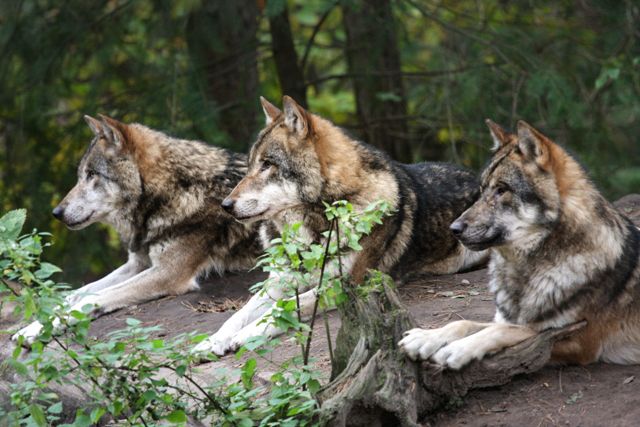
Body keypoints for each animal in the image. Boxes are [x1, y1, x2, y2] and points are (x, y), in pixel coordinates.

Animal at [12, 113, 262, 344]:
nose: (56, 212)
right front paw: (34, 326)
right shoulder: (138, 263)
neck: (169, 193)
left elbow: (92, 298)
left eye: (92, 175)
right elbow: (75, 294)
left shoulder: (168, 273)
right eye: (80, 176)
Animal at [192, 97, 488, 358]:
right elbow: (238, 313)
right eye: (251, 165)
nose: (225, 205)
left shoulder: (343, 285)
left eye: (267, 165)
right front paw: (212, 341)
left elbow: (281, 308)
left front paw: (246, 335)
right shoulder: (279, 281)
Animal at [398, 118, 640, 370]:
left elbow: (505, 330)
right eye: (482, 190)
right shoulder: (507, 318)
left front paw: (457, 349)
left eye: (501, 190)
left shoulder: (579, 340)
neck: (524, 271)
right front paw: (425, 338)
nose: (453, 229)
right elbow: (465, 323)